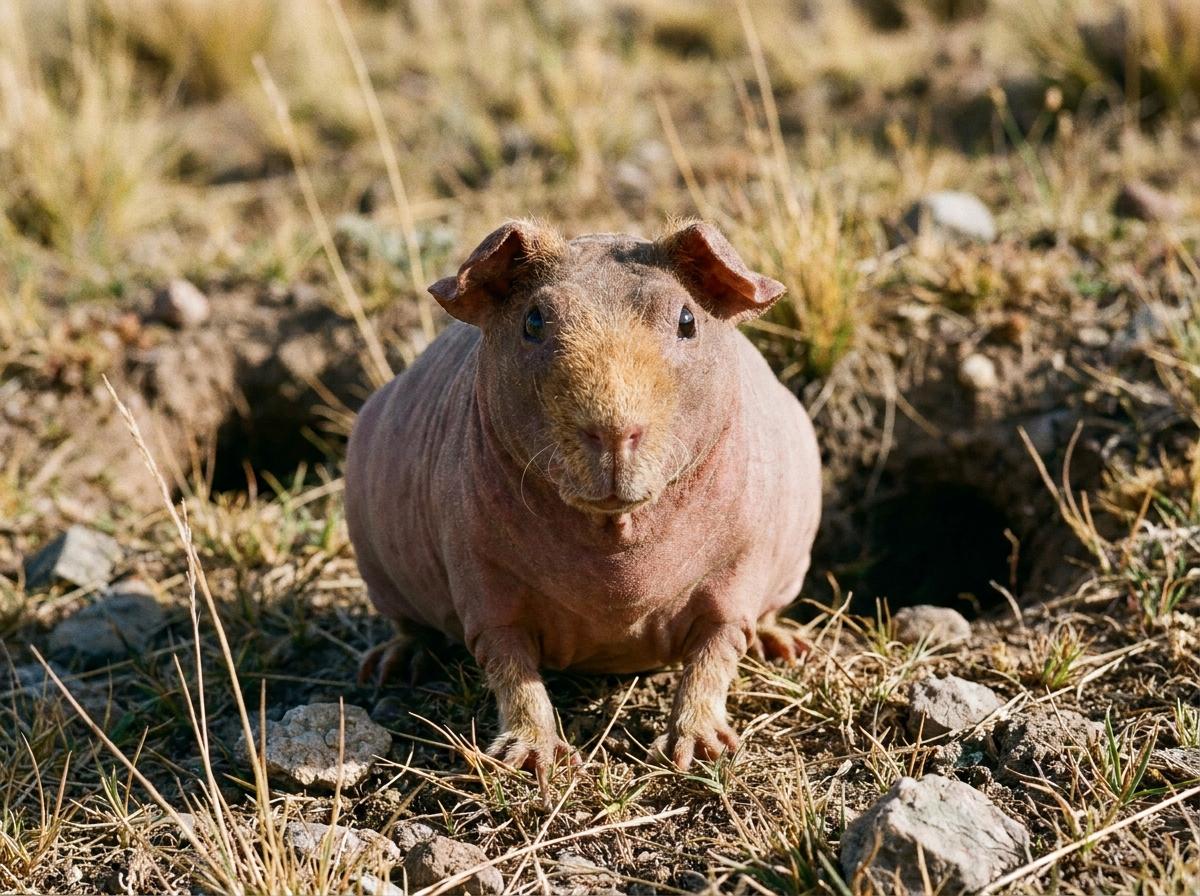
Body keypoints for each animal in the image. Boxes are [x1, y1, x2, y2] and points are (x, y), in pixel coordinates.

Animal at [345, 220, 821, 782]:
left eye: (687, 320)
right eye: (533, 321)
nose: (613, 433)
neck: (615, 544)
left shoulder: (736, 575)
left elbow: (713, 656)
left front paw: (697, 752)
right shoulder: (481, 582)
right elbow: (512, 669)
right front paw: (534, 760)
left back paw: (784, 647)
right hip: (382, 575)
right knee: (409, 627)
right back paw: (390, 667)